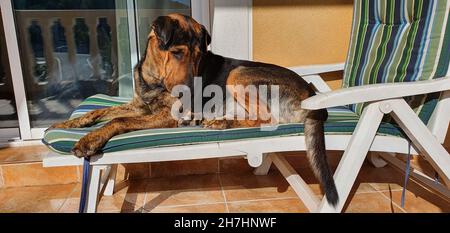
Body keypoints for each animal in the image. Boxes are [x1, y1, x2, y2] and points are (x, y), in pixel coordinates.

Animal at [49, 13, 338, 205]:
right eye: (177, 52)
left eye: (200, 55)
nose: (190, 89)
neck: (154, 79)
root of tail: (310, 91)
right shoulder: (139, 107)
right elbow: (98, 113)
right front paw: (67, 124)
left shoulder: (164, 116)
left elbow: (117, 122)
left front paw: (90, 140)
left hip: (239, 73)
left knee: (265, 119)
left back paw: (219, 122)